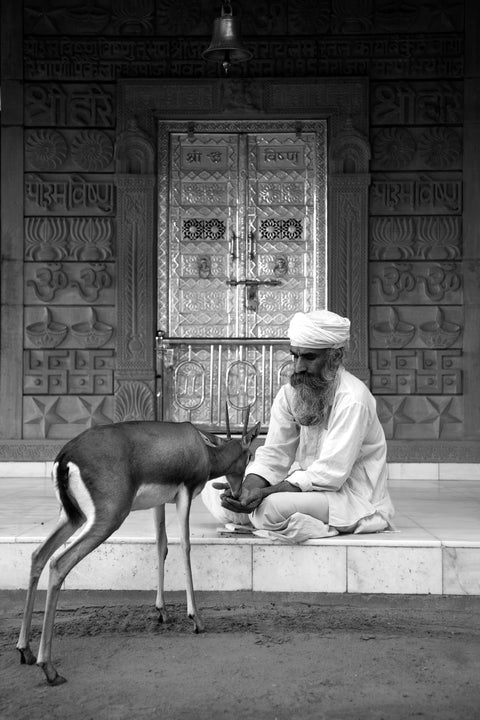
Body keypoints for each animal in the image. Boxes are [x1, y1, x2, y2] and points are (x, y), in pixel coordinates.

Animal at [16, 404, 260, 688]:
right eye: (250, 454)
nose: (237, 490)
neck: (202, 451)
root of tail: (66, 455)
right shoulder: (185, 494)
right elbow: (185, 546)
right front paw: (196, 619)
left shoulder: (159, 502)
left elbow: (161, 545)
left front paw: (162, 611)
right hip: (107, 519)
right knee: (59, 563)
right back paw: (49, 669)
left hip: (72, 517)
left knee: (38, 555)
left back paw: (25, 650)